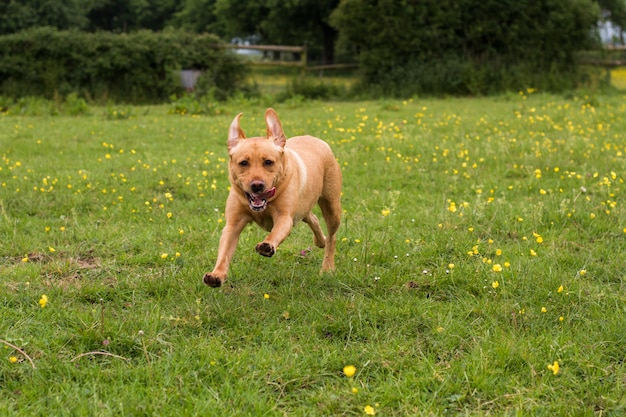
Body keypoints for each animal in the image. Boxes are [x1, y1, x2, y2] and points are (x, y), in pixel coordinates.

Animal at [202, 108, 342, 286]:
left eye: (268, 162)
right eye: (243, 163)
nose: (257, 185)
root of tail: (316, 139)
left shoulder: (285, 217)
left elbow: (275, 233)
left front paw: (267, 245)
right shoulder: (233, 224)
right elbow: (225, 251)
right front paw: (216, 274)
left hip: (332, 206)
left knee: (332, 236)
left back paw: (327, 266)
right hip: (304, 206)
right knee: (312, 218)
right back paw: (320, 241)